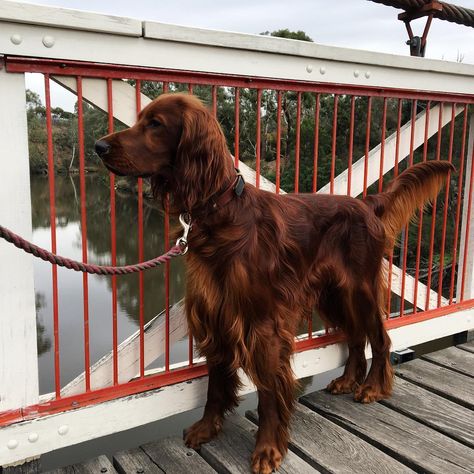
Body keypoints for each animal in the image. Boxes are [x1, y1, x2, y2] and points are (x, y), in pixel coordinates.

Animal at [95, 93, 452, 474]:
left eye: (155, 124)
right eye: (140, 120)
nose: (99, 147)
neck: (221, 212)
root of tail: (366, 204)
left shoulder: (262, 326)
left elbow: (267, 393)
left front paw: (267, 449)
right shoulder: (216, 316)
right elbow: (216, 384)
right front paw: (207, 428)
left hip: (360, 289)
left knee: (380, 338)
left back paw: (373, 387)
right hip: (333, 295)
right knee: (356, 337)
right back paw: (346, 380)